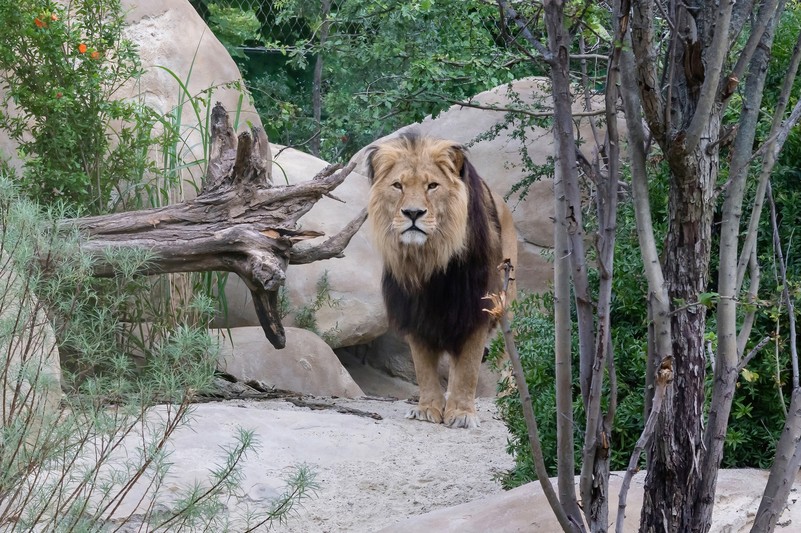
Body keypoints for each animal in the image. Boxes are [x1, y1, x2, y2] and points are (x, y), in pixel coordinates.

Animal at [364, 133, 516, 428]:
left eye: (432, 186)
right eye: (398, 185)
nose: (413, 213)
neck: (430, 261)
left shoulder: (475, 309)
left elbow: (468, 368)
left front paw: (463, 413)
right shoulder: (415, 313)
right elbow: (423, 368)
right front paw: (428, 409)